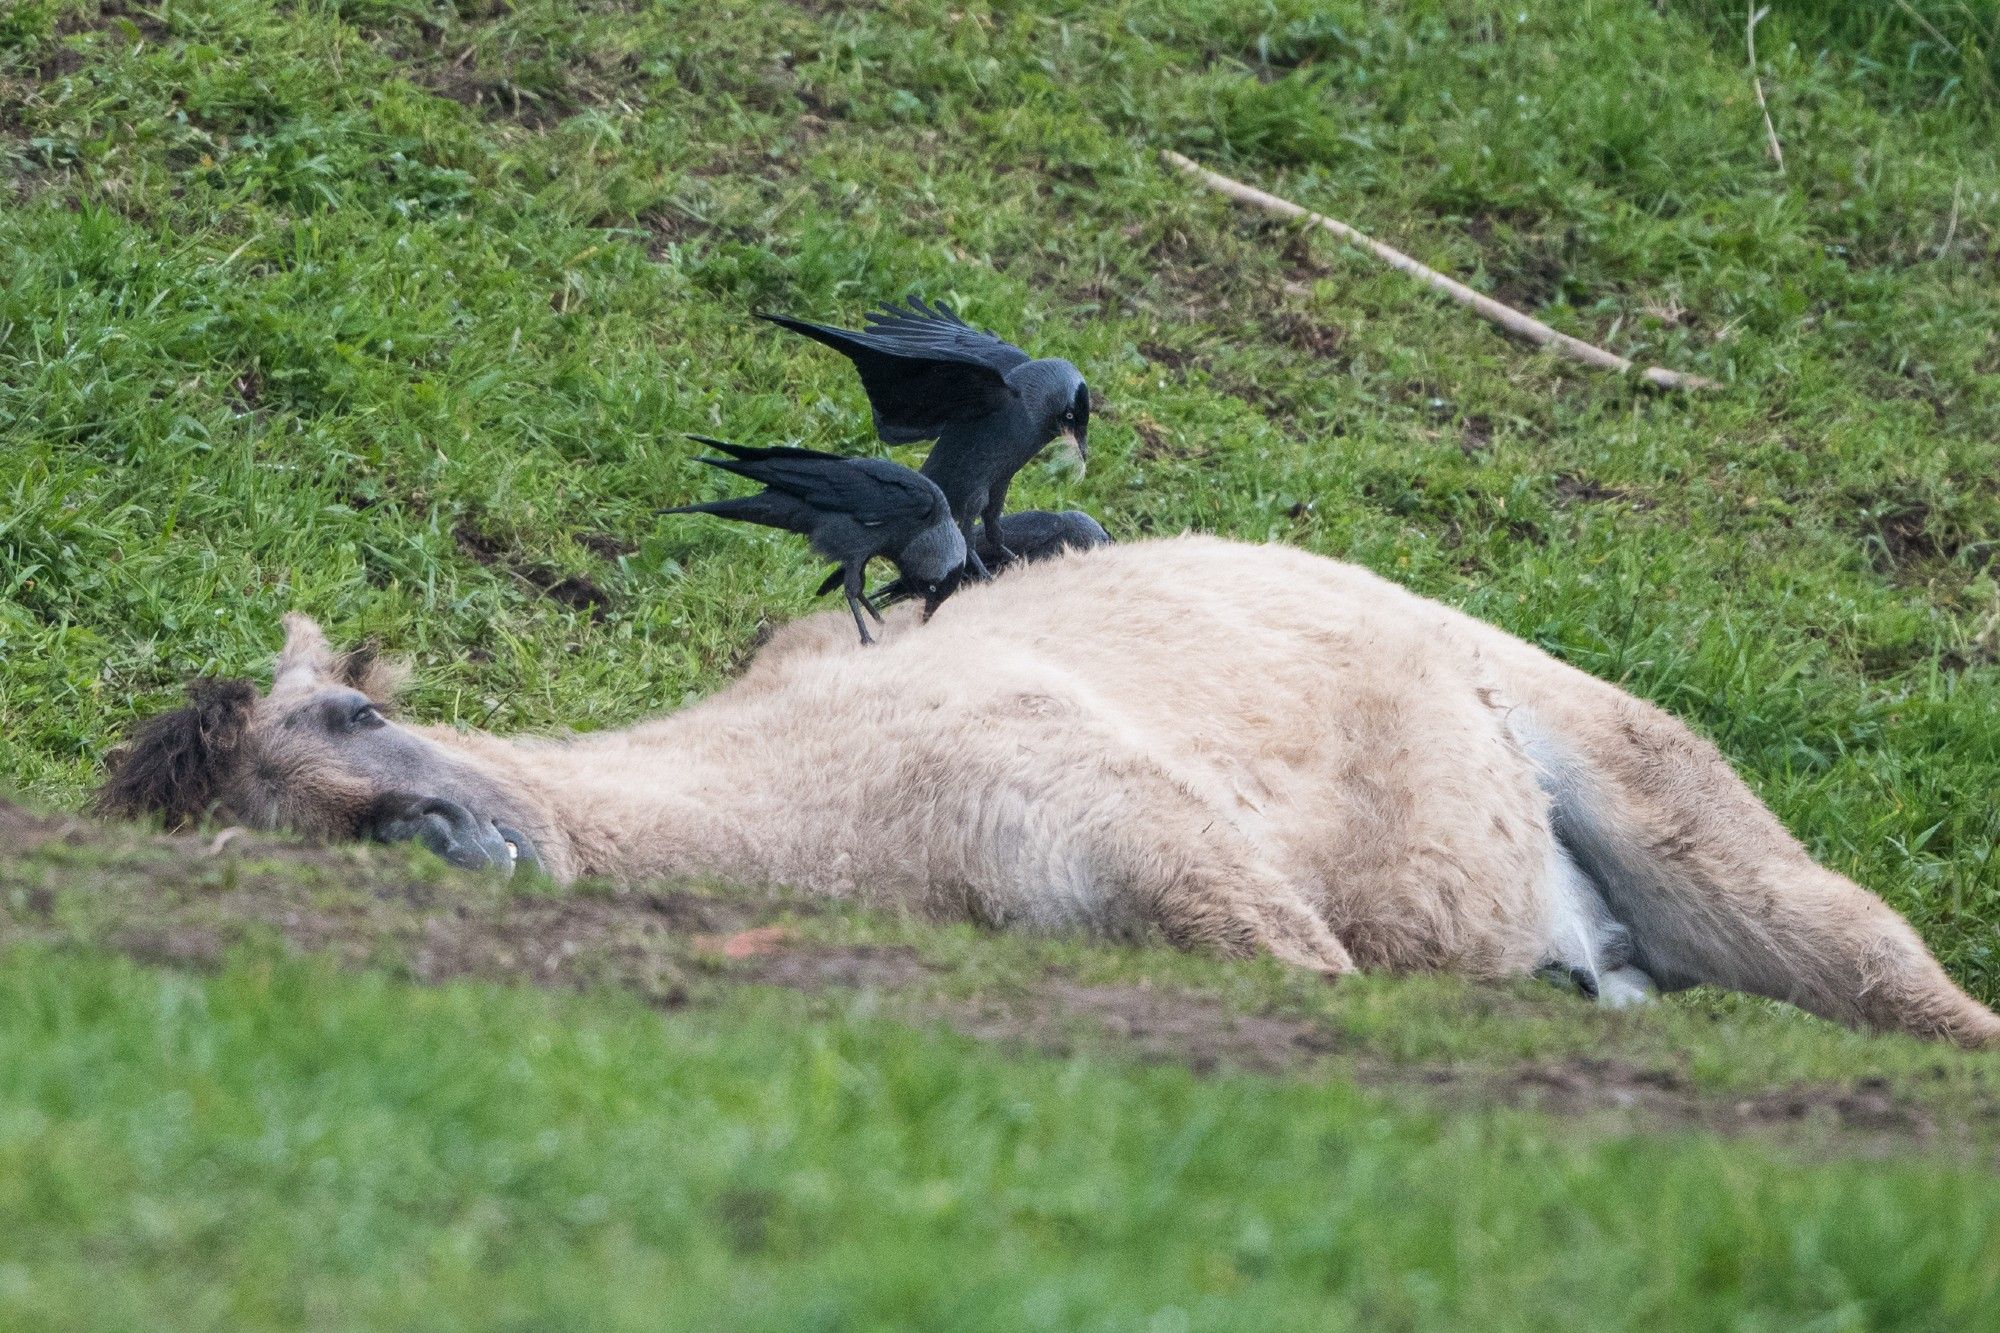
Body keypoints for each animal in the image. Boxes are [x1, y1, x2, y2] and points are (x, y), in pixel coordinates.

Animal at [97, 536, 2000, 1040]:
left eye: (354, 709)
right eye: (271, 831)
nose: (445, 837)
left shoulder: (1163, 841)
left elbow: (1311, 971)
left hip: (1657, 792)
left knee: (1873, 958)